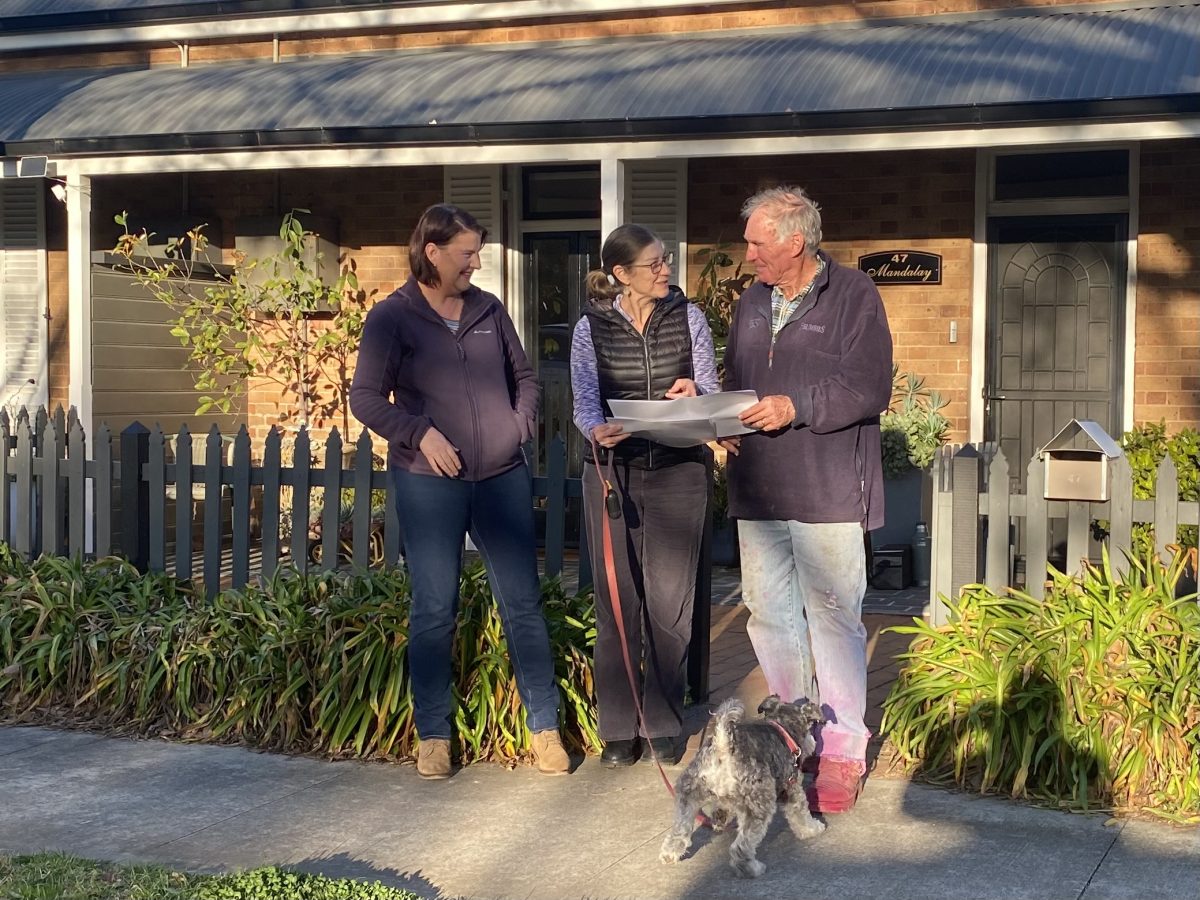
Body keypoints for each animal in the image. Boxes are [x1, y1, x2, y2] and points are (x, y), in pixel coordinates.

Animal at [657, 696, 825, 883]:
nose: (813, 744)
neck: (783, 729)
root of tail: (723, 747)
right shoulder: (792, 788)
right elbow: (801, 813)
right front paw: (812, 829)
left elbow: (721, 806)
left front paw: (720, 816)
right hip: (759, 804)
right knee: (740, 847)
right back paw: (751, 868)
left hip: (687, 793)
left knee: (679, 831)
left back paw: (669, 854)